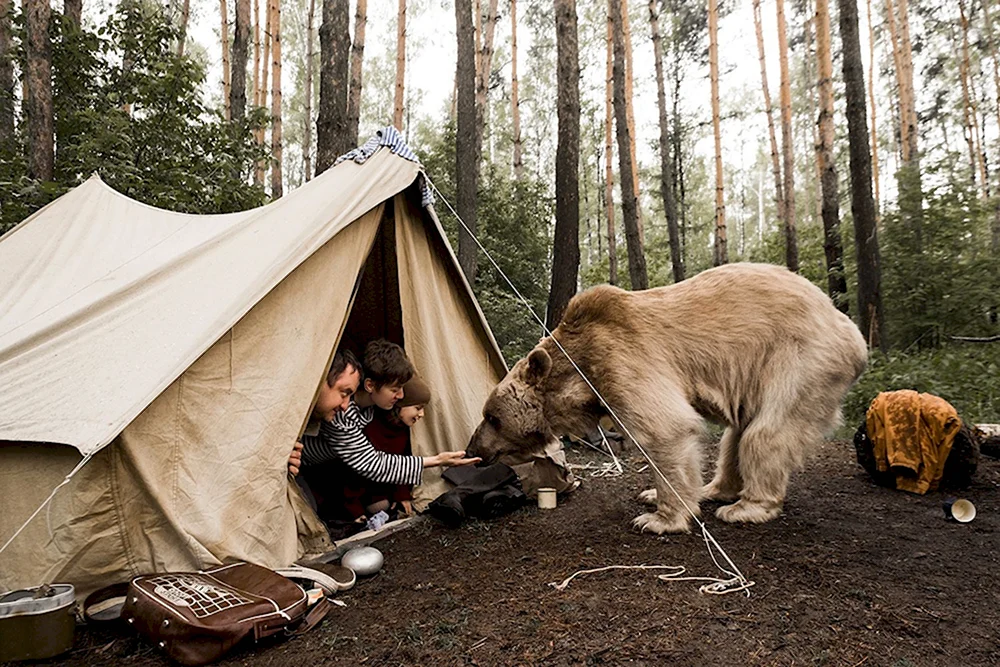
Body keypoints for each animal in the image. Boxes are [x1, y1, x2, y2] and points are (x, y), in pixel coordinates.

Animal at [468, 264, 868, 536]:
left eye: (492, 416)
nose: (474, 448)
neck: (579, 371)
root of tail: (851, 330)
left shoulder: (622, 359)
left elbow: (665, 429)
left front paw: (657, 518)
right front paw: (652, 496)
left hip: (799, 359)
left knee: (766, 432)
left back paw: (746, 507)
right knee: (736, 435)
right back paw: (713, 489)